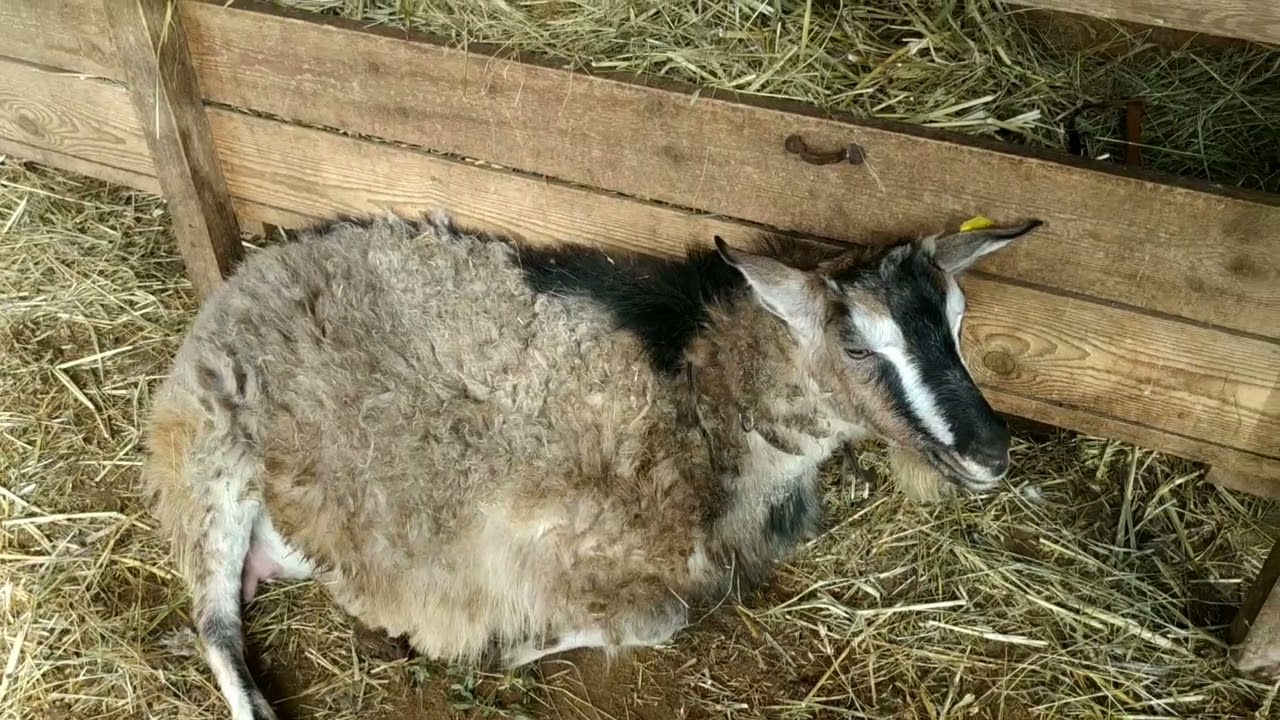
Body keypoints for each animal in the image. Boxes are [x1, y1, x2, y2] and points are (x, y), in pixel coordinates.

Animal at [141, 212, 1041, 720]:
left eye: (960, 321)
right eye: (858, 345)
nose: (990, 452)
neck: (705, 398)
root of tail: (252, 271)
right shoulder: (540, 534)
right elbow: (659, 617)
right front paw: (516, 646)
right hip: (208, 455)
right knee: (215, 623)